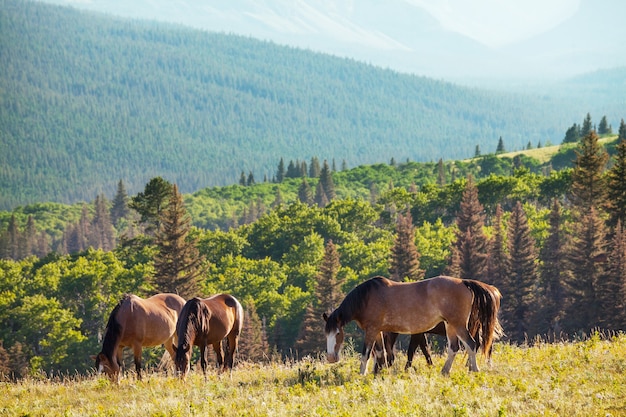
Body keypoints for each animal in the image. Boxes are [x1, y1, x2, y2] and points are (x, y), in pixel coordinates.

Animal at [324, 274, 500, 376]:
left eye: (338, 333)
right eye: (326, 334)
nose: (331, 358)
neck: (367, 298)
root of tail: (463, 282)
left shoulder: (372, 330)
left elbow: (366, 353)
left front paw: (362, 374)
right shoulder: (379, 331)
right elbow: (380, 353)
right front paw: (380, 372)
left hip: (459, 325)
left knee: (471, 344)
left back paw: (474, 370)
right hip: (450, 325)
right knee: (454, 348)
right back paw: (445, 371)